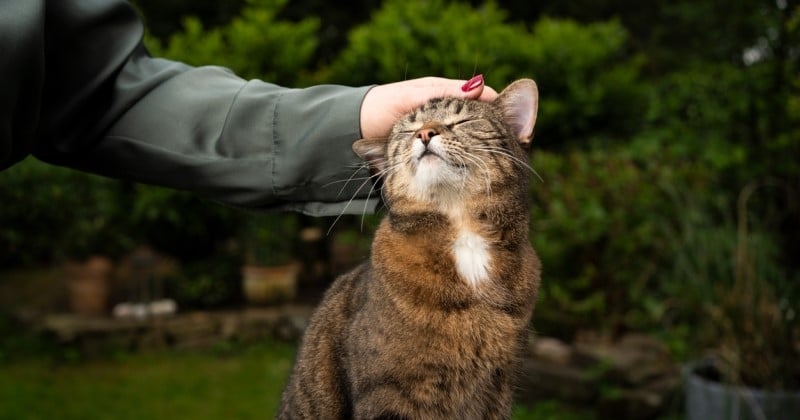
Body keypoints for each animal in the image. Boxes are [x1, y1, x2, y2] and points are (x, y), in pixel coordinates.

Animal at [278, 79, 540, 420]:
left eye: (462, 121)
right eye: (409, 130)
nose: (425, 133)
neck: (465, 237)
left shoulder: (498, 389)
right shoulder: (389, 392)